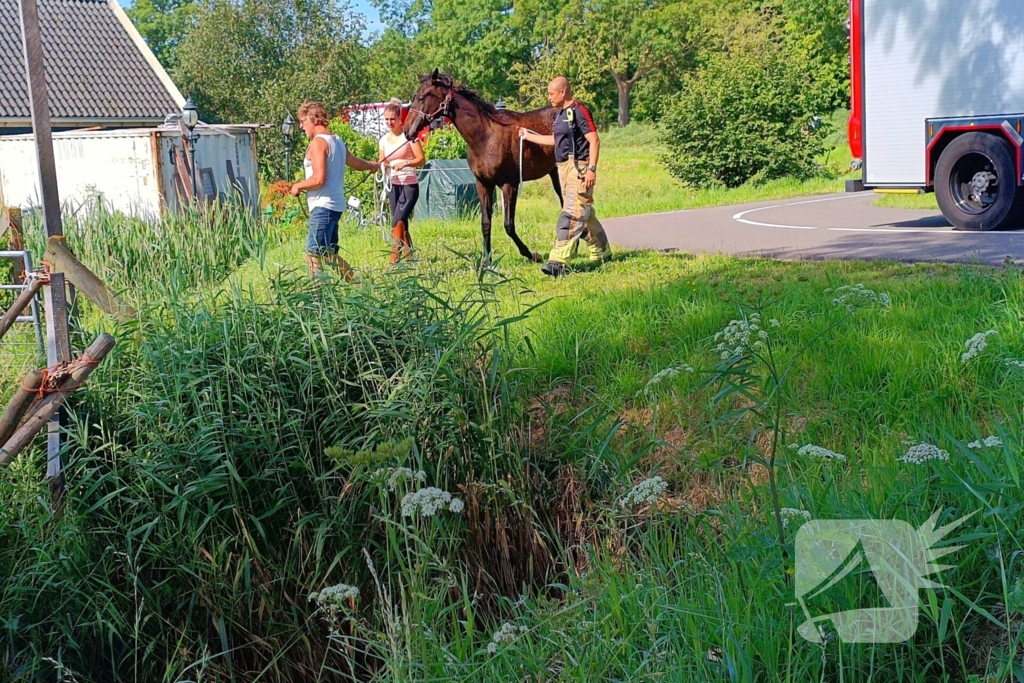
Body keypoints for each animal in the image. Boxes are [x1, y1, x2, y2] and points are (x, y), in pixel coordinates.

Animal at [401, 70, 561, 264]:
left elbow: (508, 225)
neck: (486, 137)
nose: (407, 131)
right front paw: (486, 262)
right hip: (554, 172)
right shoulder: (483, 184)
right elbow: (486, 222)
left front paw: (532, 255)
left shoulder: (509, 185)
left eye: (422, 97)